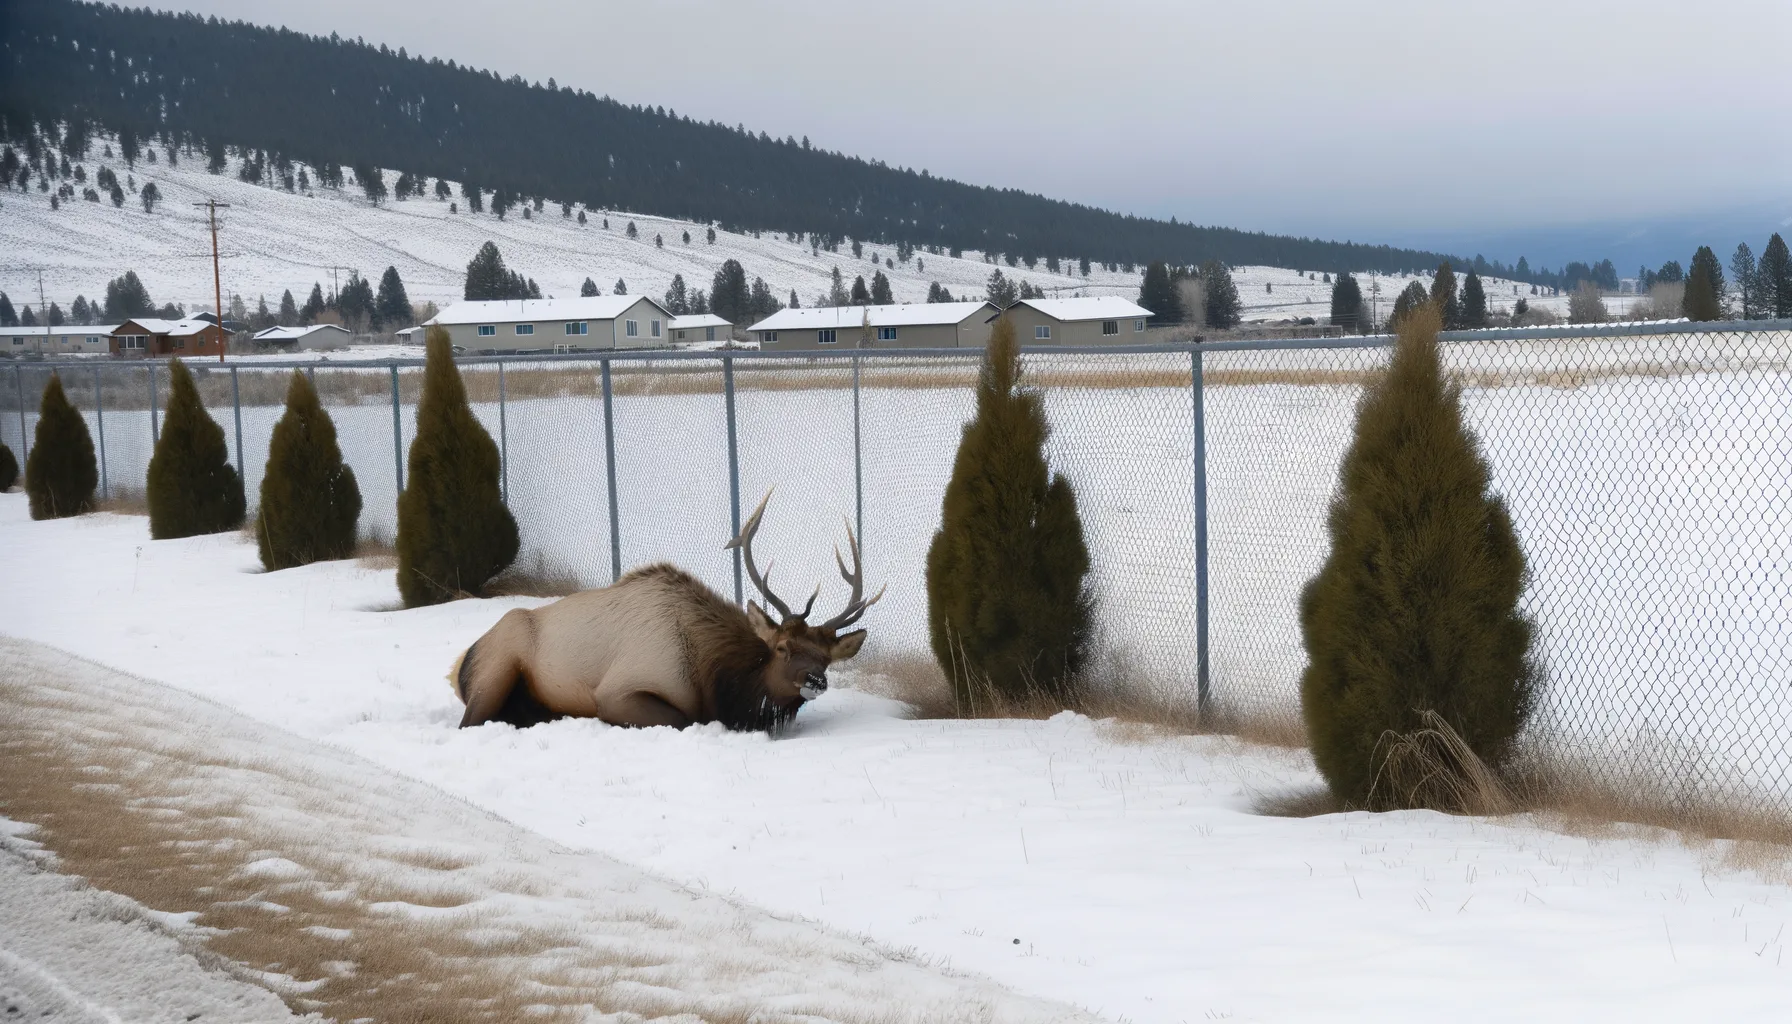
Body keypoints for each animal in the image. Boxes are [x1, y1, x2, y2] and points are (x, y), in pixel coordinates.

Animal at [448, 492, 883, 732]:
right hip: (496, 668)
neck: (713, 677)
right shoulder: (617, 691)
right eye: (781, 647)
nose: (814, 680)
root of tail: (460, 663)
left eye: (825, 659)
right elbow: (685, 718)